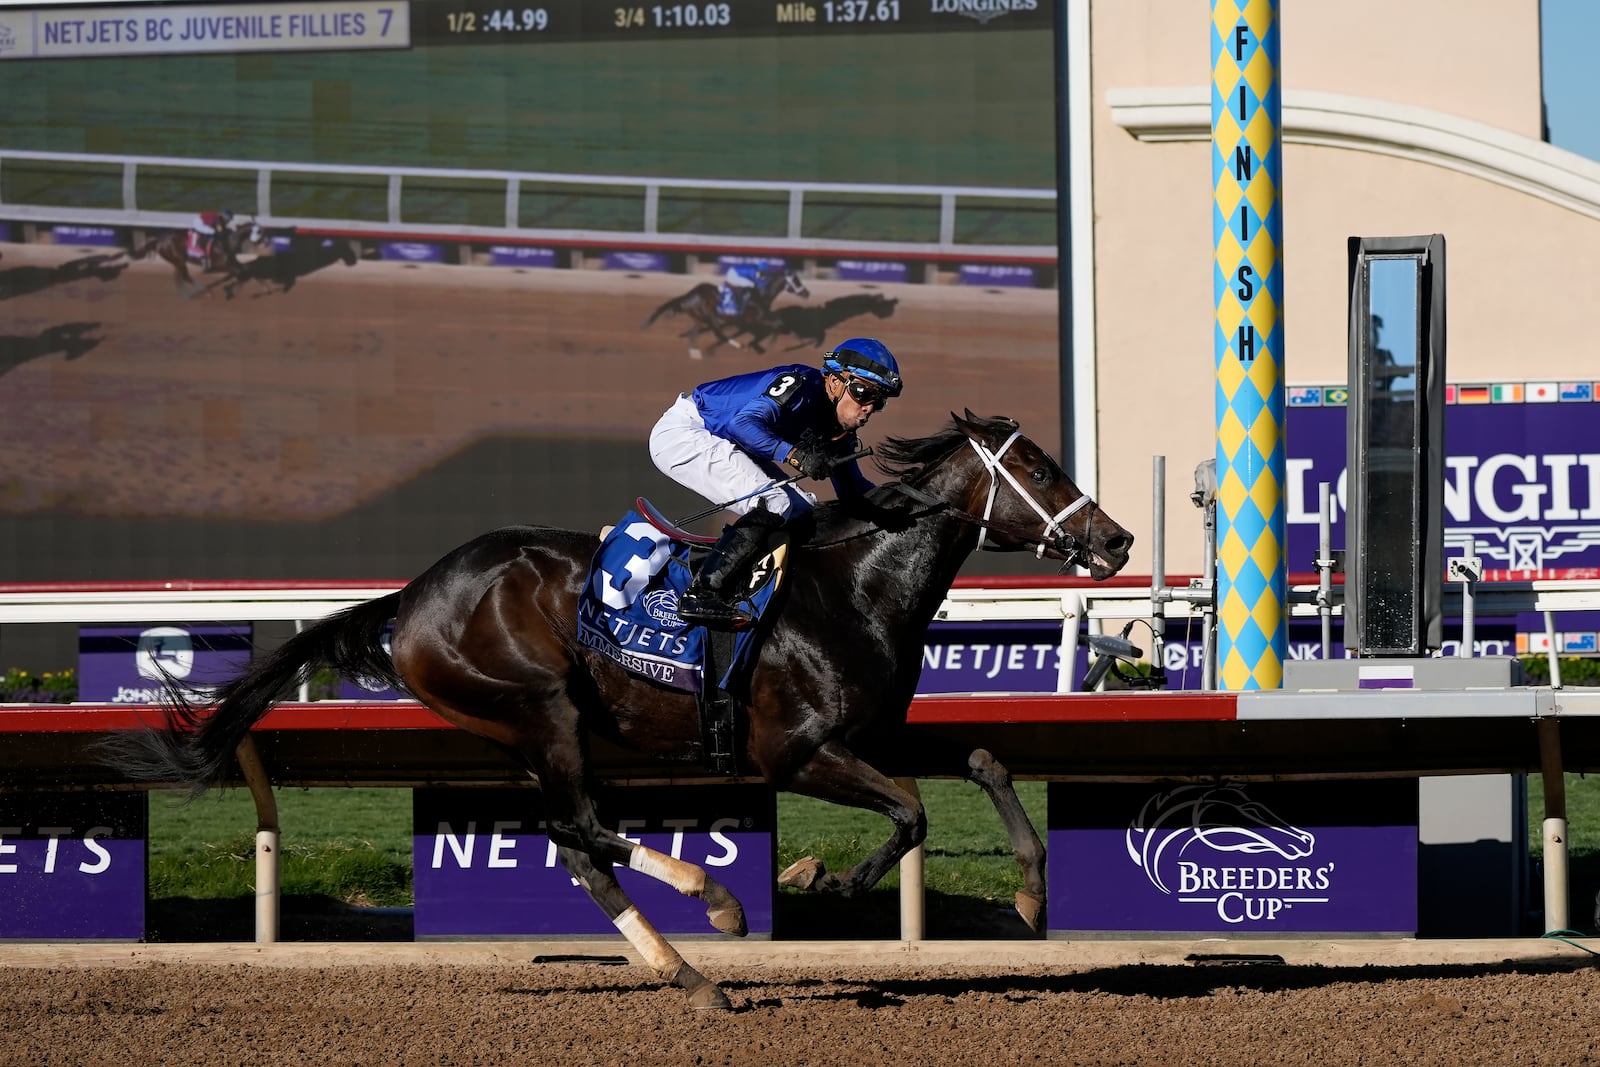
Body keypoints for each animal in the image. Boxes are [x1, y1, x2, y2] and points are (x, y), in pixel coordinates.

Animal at [109, 412, 1126, 1017]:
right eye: (1038, 465)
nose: (1113, 541)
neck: (854, 588)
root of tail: (413, 595)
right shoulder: (796, 751)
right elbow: (910, 812)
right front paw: (835, 886)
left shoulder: (875, 732)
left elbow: (985, 758)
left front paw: (1031, 889)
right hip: (545, 705)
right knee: (583, 827)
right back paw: (712, 906)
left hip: (532, 731)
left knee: (579, 845)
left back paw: (683, 965)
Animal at [640, 262, 812, 358]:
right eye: (796, 280)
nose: (807, 293)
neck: (760, 294)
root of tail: (688, 295)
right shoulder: (757, 318)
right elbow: (778, 323)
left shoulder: (753, 321)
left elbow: (778, 323)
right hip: (709, 315)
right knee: (717, 332)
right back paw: (735, 345)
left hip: (699, 317)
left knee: (695, 331)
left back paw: (695, 352)